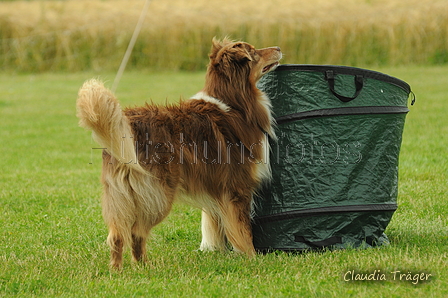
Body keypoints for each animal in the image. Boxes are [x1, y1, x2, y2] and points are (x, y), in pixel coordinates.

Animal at [75, 38, 282, 268]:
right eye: (254, 52)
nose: (279, 48)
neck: (234, 102)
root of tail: (127, 123)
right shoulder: (237, 188)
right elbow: (242, 229)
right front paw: (251, 258)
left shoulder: (216, 189)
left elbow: (215, 223)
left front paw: (217, 250)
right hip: (158, 193)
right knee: (137, 231)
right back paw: (142, 267)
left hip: (121, 194)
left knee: (117, 235)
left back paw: (123, 270)